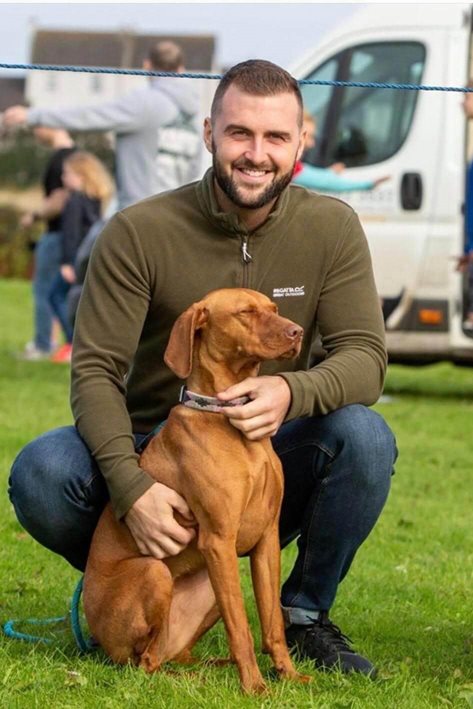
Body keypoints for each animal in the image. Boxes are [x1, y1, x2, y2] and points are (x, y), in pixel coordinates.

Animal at [83, 287, 309, 693]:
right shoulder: (218, 540)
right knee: (145, 663)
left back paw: (206, 669)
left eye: (274, 308)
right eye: (245, 312)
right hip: (156, 572)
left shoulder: (266, 539)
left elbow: (272, 624)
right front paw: (254, 686)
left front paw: (288, 674)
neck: (229, 419)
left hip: (211, 587)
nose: (296, 332)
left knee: (166, 655)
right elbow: (242, 629)